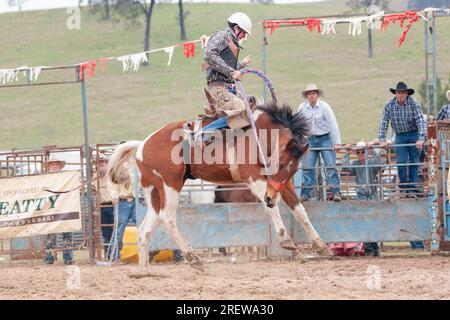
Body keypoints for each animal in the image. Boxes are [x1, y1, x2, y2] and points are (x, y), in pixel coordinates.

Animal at [107, 103, 332, 270]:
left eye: (292, 169)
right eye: (281, 163)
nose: (270, 196)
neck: (259, 135)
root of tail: (142, 146)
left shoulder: (280, 184)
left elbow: (300, 211)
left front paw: (322, 247)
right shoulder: (253, 177)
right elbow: (271, 209)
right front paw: (286, 241)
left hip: (154, 190)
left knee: (146, 228)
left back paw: (144, 270)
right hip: (170, 185)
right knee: (167, 217)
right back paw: (193, 257)